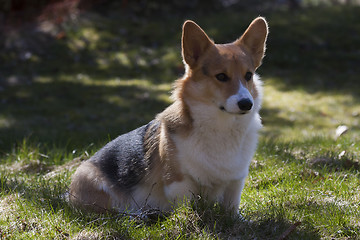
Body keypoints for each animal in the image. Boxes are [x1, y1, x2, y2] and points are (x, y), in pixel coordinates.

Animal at [69, 17, 268, 215]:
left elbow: (232, 209)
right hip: (97, 187)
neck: (222, 127)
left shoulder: (235, 181)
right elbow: (186, 207)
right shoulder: (178, 181)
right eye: (221, 76)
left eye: (248, 75)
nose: (246, 104)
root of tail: (67, 195)